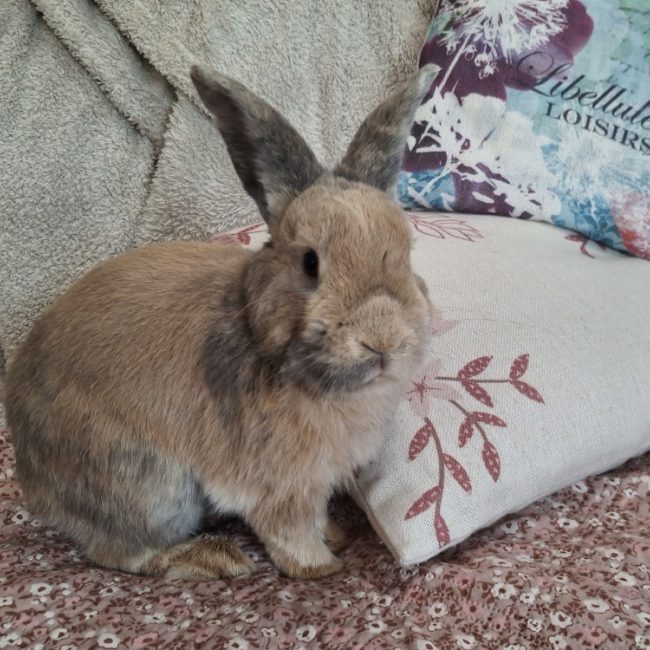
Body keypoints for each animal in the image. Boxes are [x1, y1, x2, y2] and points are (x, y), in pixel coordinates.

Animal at [4, 62, 439, 580]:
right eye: (310, 263)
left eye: (408, 251)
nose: (382, 340)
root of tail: (35, 485)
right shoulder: (281, 487)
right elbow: (291, 533)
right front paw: (321, 567)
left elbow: (316, 516)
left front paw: (337, 535)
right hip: (149, 488)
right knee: (122, 553)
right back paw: (214, 557)